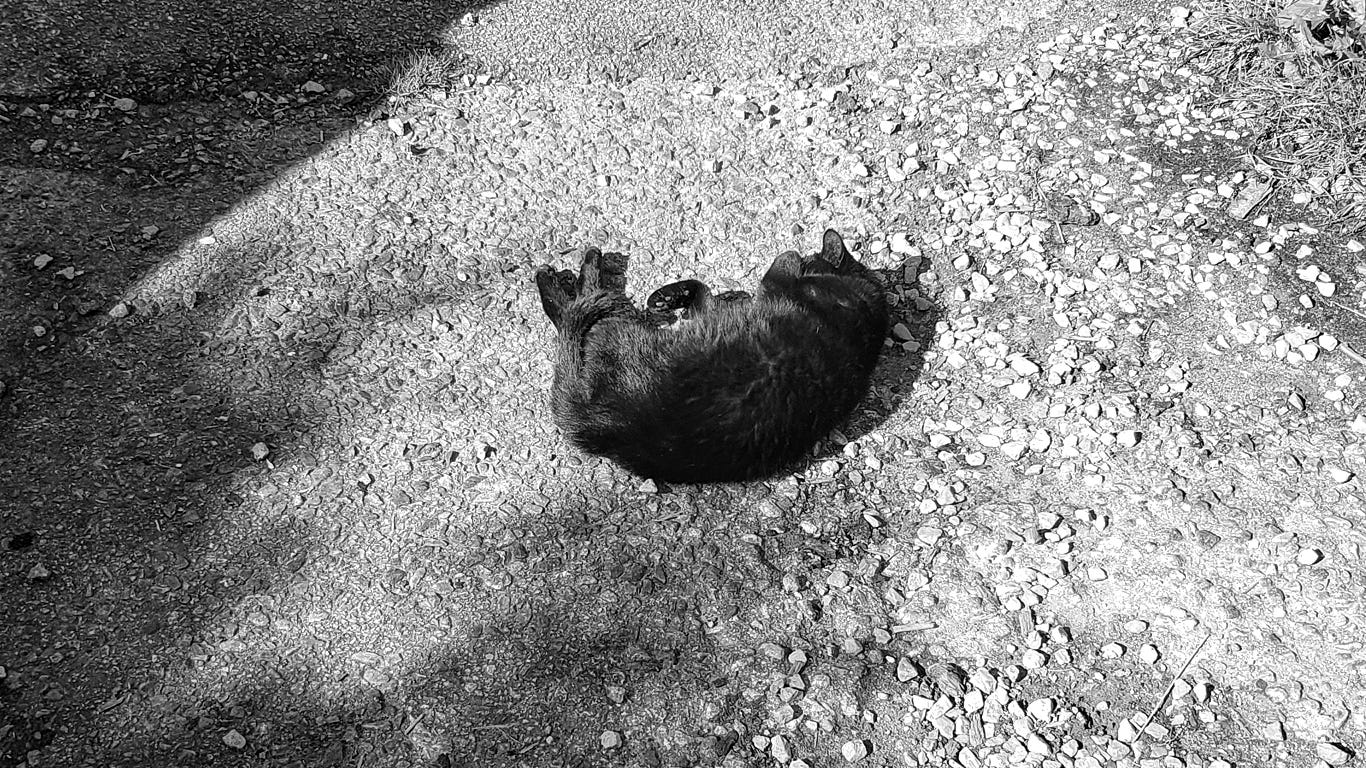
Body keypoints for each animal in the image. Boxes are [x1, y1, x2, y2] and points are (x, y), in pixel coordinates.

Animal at [532, 228, 896, 478]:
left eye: (811, 260)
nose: (807, 259)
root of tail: (600, 426)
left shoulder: (779, 283)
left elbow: (782, 260)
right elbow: (703, 292)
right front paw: (668, 297)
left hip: (611, 329)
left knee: (575, 309)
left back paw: (570, 272)